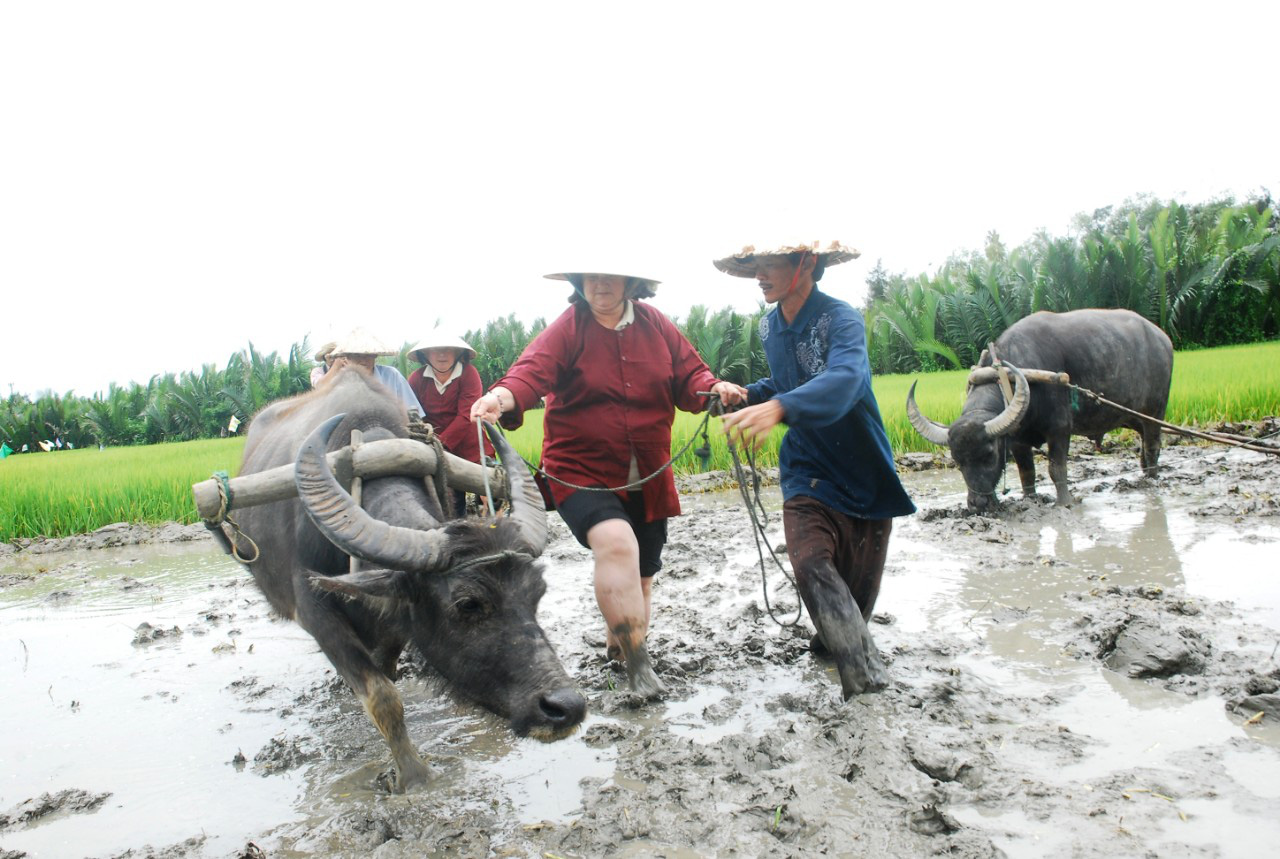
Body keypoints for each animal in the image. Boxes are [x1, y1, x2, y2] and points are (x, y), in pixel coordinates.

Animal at [229, 366, 586, 788]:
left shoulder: (396, 624)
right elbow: (382, 697)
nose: (566, 706)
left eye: (537, 594)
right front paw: (414, 776)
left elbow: (387, 674)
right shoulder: (316, 612)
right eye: (468, 604)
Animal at [911, 309, 1172, 512]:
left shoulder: (1059, 430)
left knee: (1152, 444)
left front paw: (1064, 502)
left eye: (989, 455)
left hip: (1155, 410)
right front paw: (1030, 499)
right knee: (1144, 441)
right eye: (957, 460)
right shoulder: (1017, 439)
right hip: (1131, 415)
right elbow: (1026, 472)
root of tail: (1163, 338)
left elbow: (1056, 469)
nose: (977, 505)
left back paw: (1152, 479)